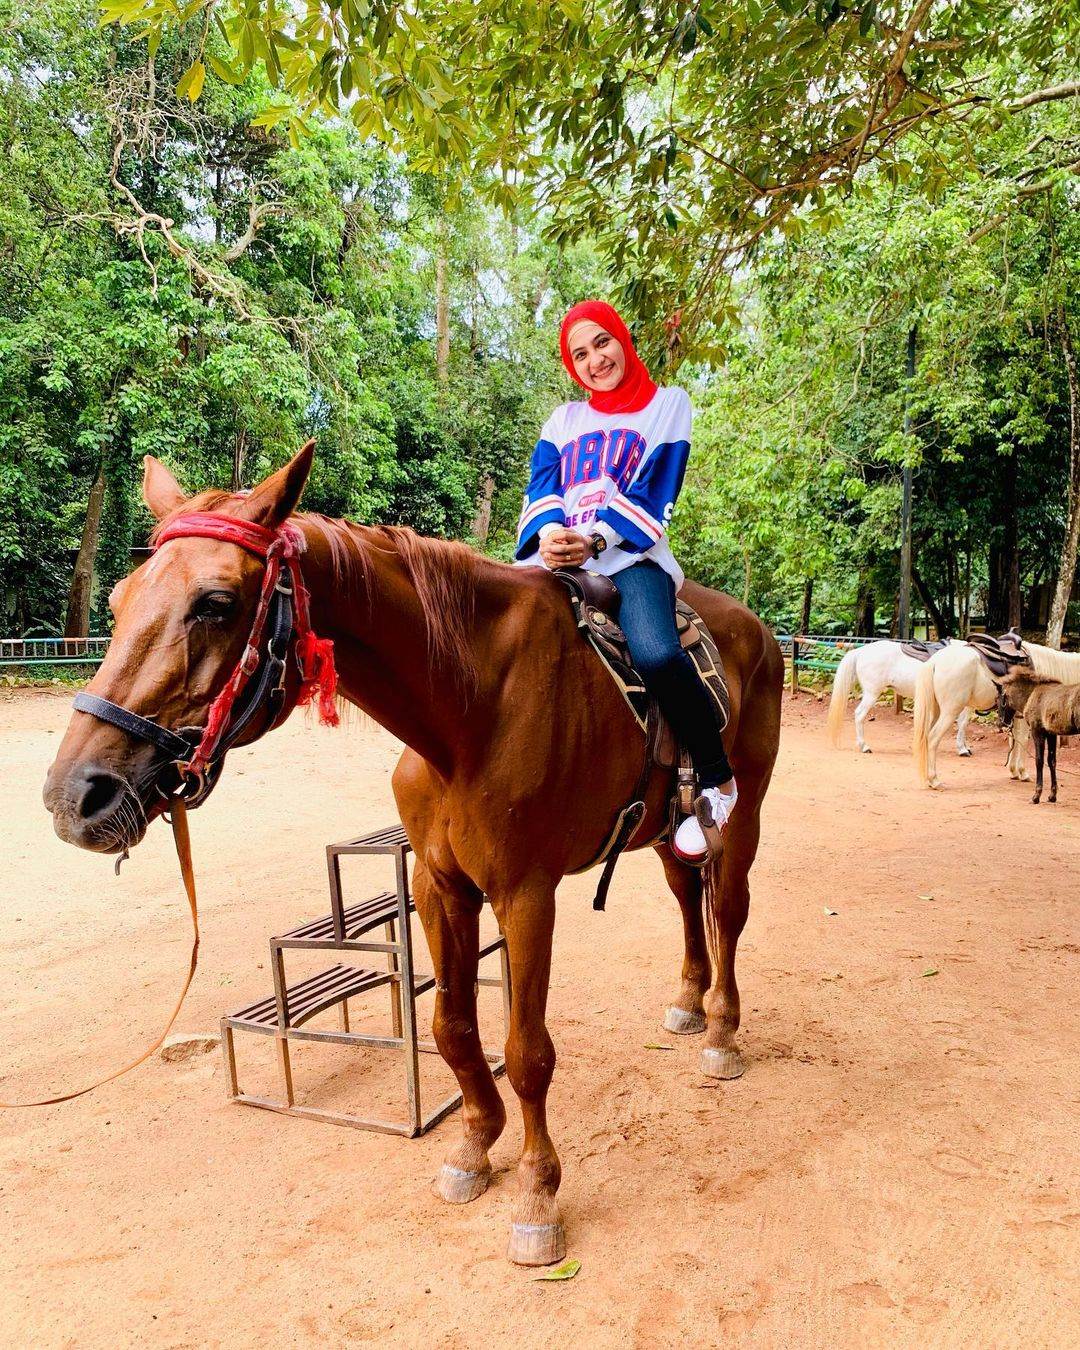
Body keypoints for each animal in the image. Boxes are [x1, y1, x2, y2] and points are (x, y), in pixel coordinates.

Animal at [44, 442, 783, 1263]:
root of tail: (757, 629)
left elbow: (528, 1051)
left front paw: (538, 1195)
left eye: (215, 602)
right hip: (662, 826)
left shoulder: (526, 894)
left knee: (728, 907)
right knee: (689, 897)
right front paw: (474, 1148)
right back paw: (689, 1002)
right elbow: (452, 1029)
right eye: (116, 601)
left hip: (742, 810)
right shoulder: (440, 885)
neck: (470, 709)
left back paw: (722, 1029)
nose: (77, 796)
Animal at [831, 642, 972, 761]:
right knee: (860, 714)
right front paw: (962, 749)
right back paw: (864, 747)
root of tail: (861, 651)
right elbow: (962, 722)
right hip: (872, 693)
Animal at [912, 637, 1080, 788]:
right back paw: (934, 780)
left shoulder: (1015, 715)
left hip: (936, 711)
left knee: (926, 737)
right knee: (933, 738)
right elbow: (1023, 739)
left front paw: (1014, 771)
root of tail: (935, 661)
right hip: (950, 711)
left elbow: (1014, 739)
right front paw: (1023, 773)